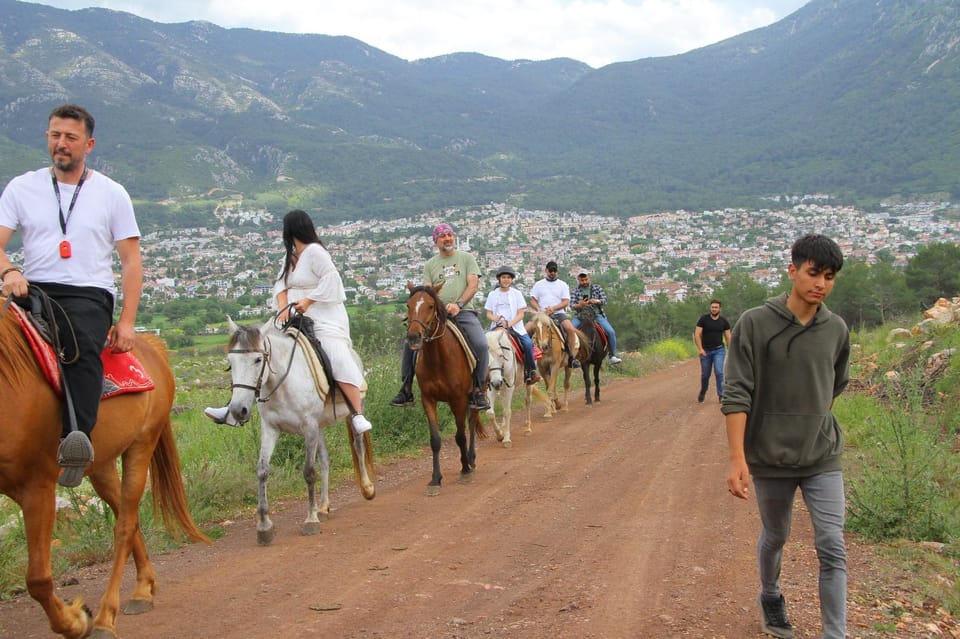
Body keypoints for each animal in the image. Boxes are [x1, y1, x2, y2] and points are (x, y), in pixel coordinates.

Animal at [0, 302, 209, 639]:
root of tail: (148, 345)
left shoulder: (37, 487)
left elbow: (38, 579)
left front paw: (75, 621)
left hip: (141, 445)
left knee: (124, 525)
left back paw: (105, 617)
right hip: (101, 465)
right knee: (128, 516)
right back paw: (143, 588)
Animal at [224, 320, 376, 544]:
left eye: (258, 359)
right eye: (230, 361)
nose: (237, 410)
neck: (283, 384)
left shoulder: (309, 427)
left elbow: (309, 472)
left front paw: (310, 520)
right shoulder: (271, 428)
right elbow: (262, 470)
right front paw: (264, 526)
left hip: (352, 411)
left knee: (358, 446)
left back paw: (366, 488)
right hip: (319, 427)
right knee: (325, 460)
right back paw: (323, 506)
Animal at [404, 282, 488, 498]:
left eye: (430, 306)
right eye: (408, 305)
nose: (414, 337)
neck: (437, 358)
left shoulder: (458, 399)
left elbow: (460, 436)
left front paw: (465, 470)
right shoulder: (428, 400)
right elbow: (435, 440)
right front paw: (435, 479)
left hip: (475, 395)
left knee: (472, 424)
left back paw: (471, 459)